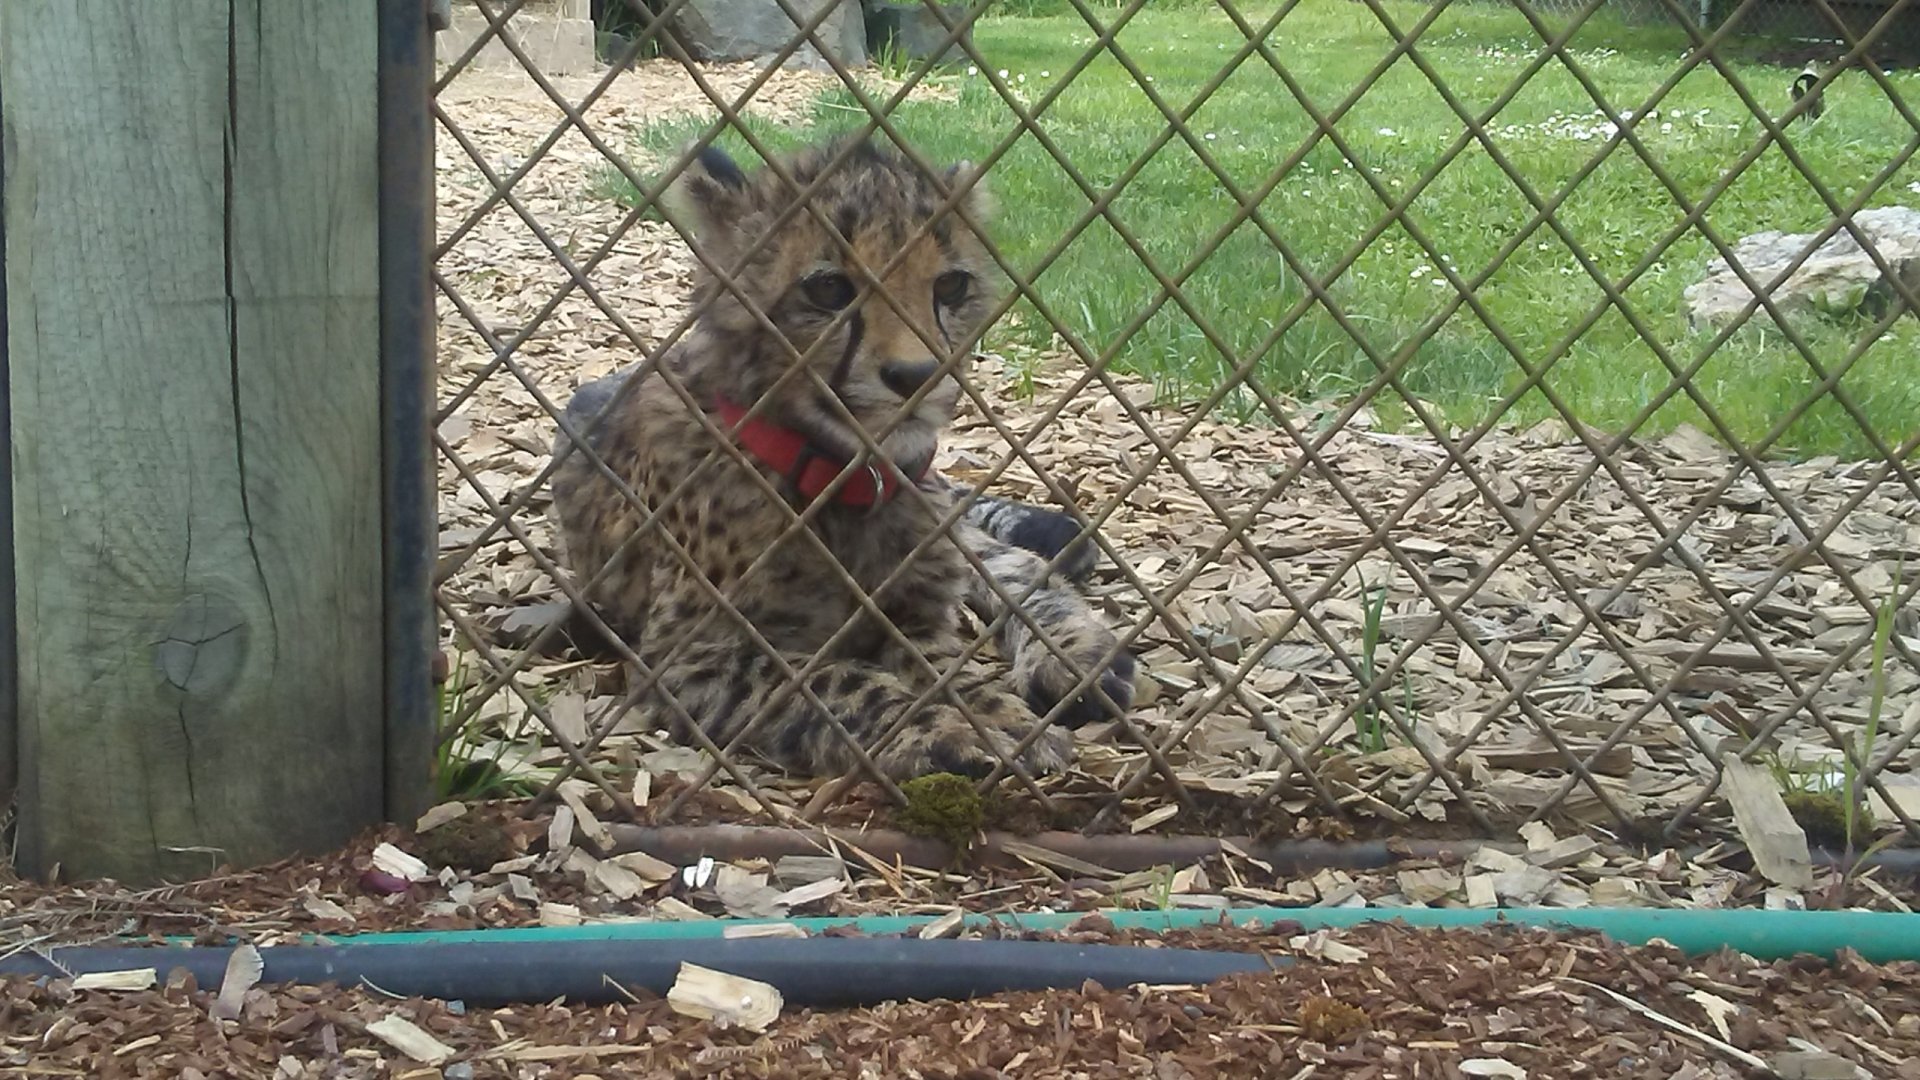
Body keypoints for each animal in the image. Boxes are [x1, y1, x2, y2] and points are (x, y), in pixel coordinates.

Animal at [547, 134, 1136, 782]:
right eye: (828, 289)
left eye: (950, 286)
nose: (917, 376)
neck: (845, 476)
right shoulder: (689, 657)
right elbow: (836, 682)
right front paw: (955, 731)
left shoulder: (915, 614)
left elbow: (940, 667)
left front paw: (987, 713)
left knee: (1015, 565)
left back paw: (1078, 656)